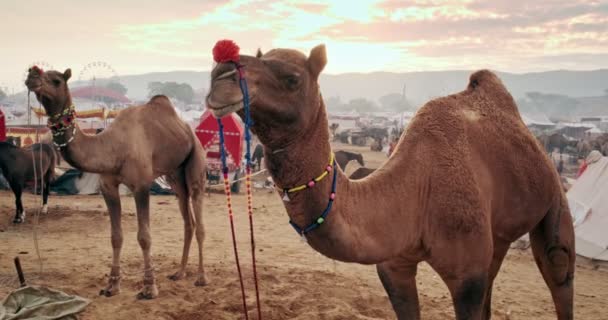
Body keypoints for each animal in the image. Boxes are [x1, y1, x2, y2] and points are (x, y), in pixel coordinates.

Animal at [26, 67, 208, 300]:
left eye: (56, 80)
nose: (32, 74)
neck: (113, 147)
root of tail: (187, 128)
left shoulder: (141, 185)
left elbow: (144, 237)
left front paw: (149, 288)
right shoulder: (108, 187)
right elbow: (115, 237)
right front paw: (112, 286)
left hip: (196, 159)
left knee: (198, 215)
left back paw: (201, 278)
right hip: (175, 175)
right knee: (187, 219)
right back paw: (180, 272)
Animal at [208, 45, 576, 320]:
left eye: (291, 78)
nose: (220, 74)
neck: (416, 192)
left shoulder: (466, 276)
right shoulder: (394, 268)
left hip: (554, 199)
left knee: (559, 267)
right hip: (497, 234)